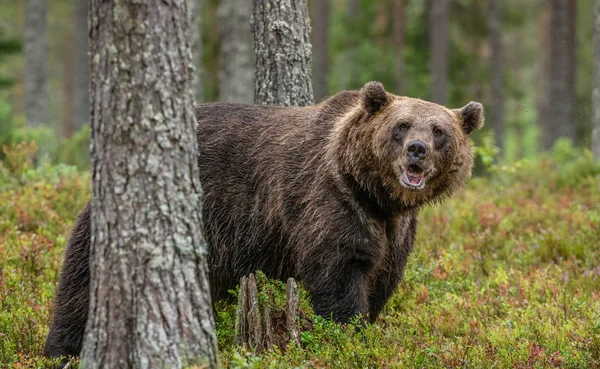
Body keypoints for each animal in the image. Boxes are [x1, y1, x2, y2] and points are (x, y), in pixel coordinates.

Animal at [43, 82, 482, 360]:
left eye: (439, 130)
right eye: (401, 125)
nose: (417, 150)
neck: (376, 196)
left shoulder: (396, 231)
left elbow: (382, 280)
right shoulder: (328, 203)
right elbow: (338, 272)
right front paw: (348, 335)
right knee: (81, 283)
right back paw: (63, 350)